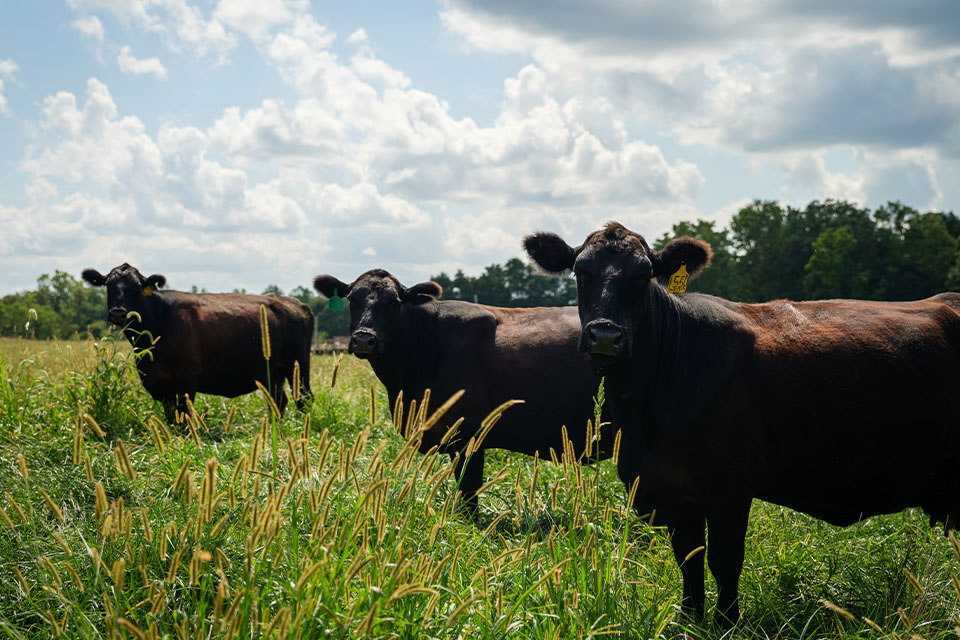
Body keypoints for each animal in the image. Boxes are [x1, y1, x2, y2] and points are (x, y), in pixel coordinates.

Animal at [82, 263, 313, 422]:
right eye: (108, 285)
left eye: (137, 286)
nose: (118, 313)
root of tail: (295, 303)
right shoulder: (156, 381)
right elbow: (172, 417)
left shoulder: (187, 377)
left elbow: (184, 415)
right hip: (272, 374)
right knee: (278, 401)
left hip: (298, 366)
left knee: (304, 399)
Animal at [524, 221, 960, 626]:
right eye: (581, 273)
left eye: (643, 275)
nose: (604, 336)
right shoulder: (672, 488)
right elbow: (689, 559)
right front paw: (690, 620)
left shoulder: (729, 484)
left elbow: (724, 558)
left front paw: (726, 623)